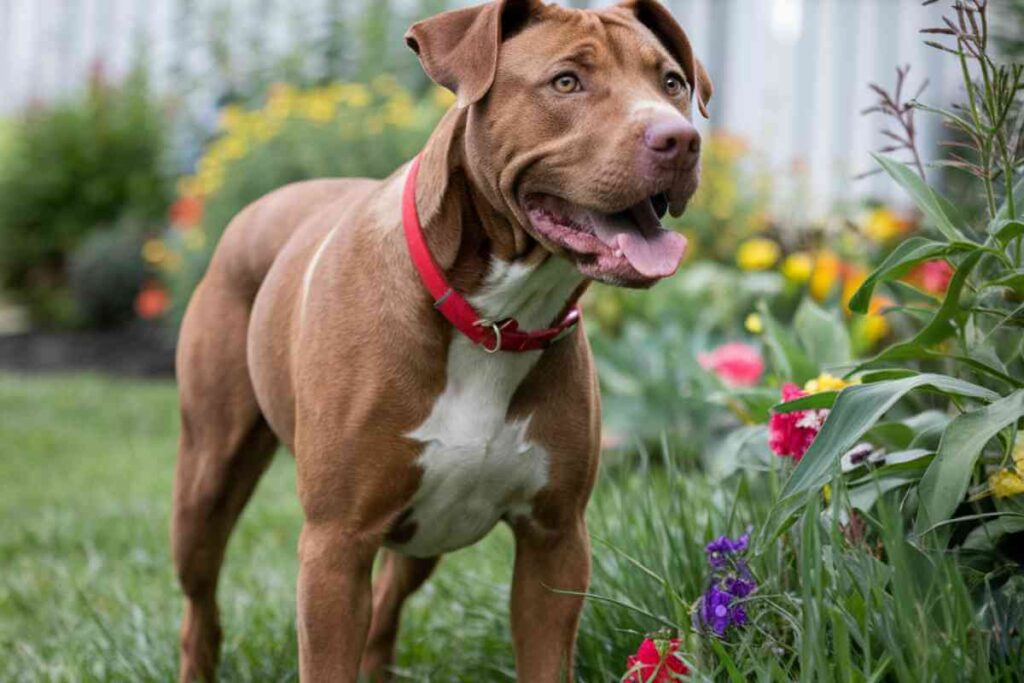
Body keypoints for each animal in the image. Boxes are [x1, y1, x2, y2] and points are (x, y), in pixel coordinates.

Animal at [169, 2, 712, 679]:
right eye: (566, 82)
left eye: (672, 84)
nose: (680, 139)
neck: (494, 321)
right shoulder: (334, 545)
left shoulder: (556, 541)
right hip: (207, 479)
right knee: (201, 606)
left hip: (422, 533)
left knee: (383, 612)